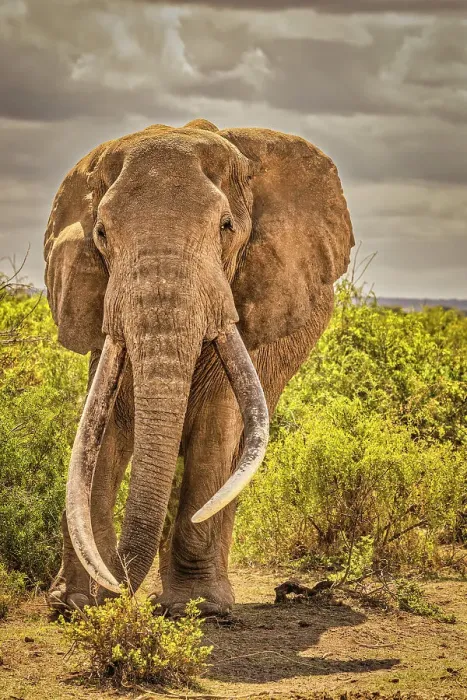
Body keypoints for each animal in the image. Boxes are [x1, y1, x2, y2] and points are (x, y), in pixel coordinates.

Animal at [44, 118, 354, 616]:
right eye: (102, 234)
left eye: (226, 227)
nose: (117, 592)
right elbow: (99, 434)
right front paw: (73, 604)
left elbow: (215, 428)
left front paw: (196, 608)